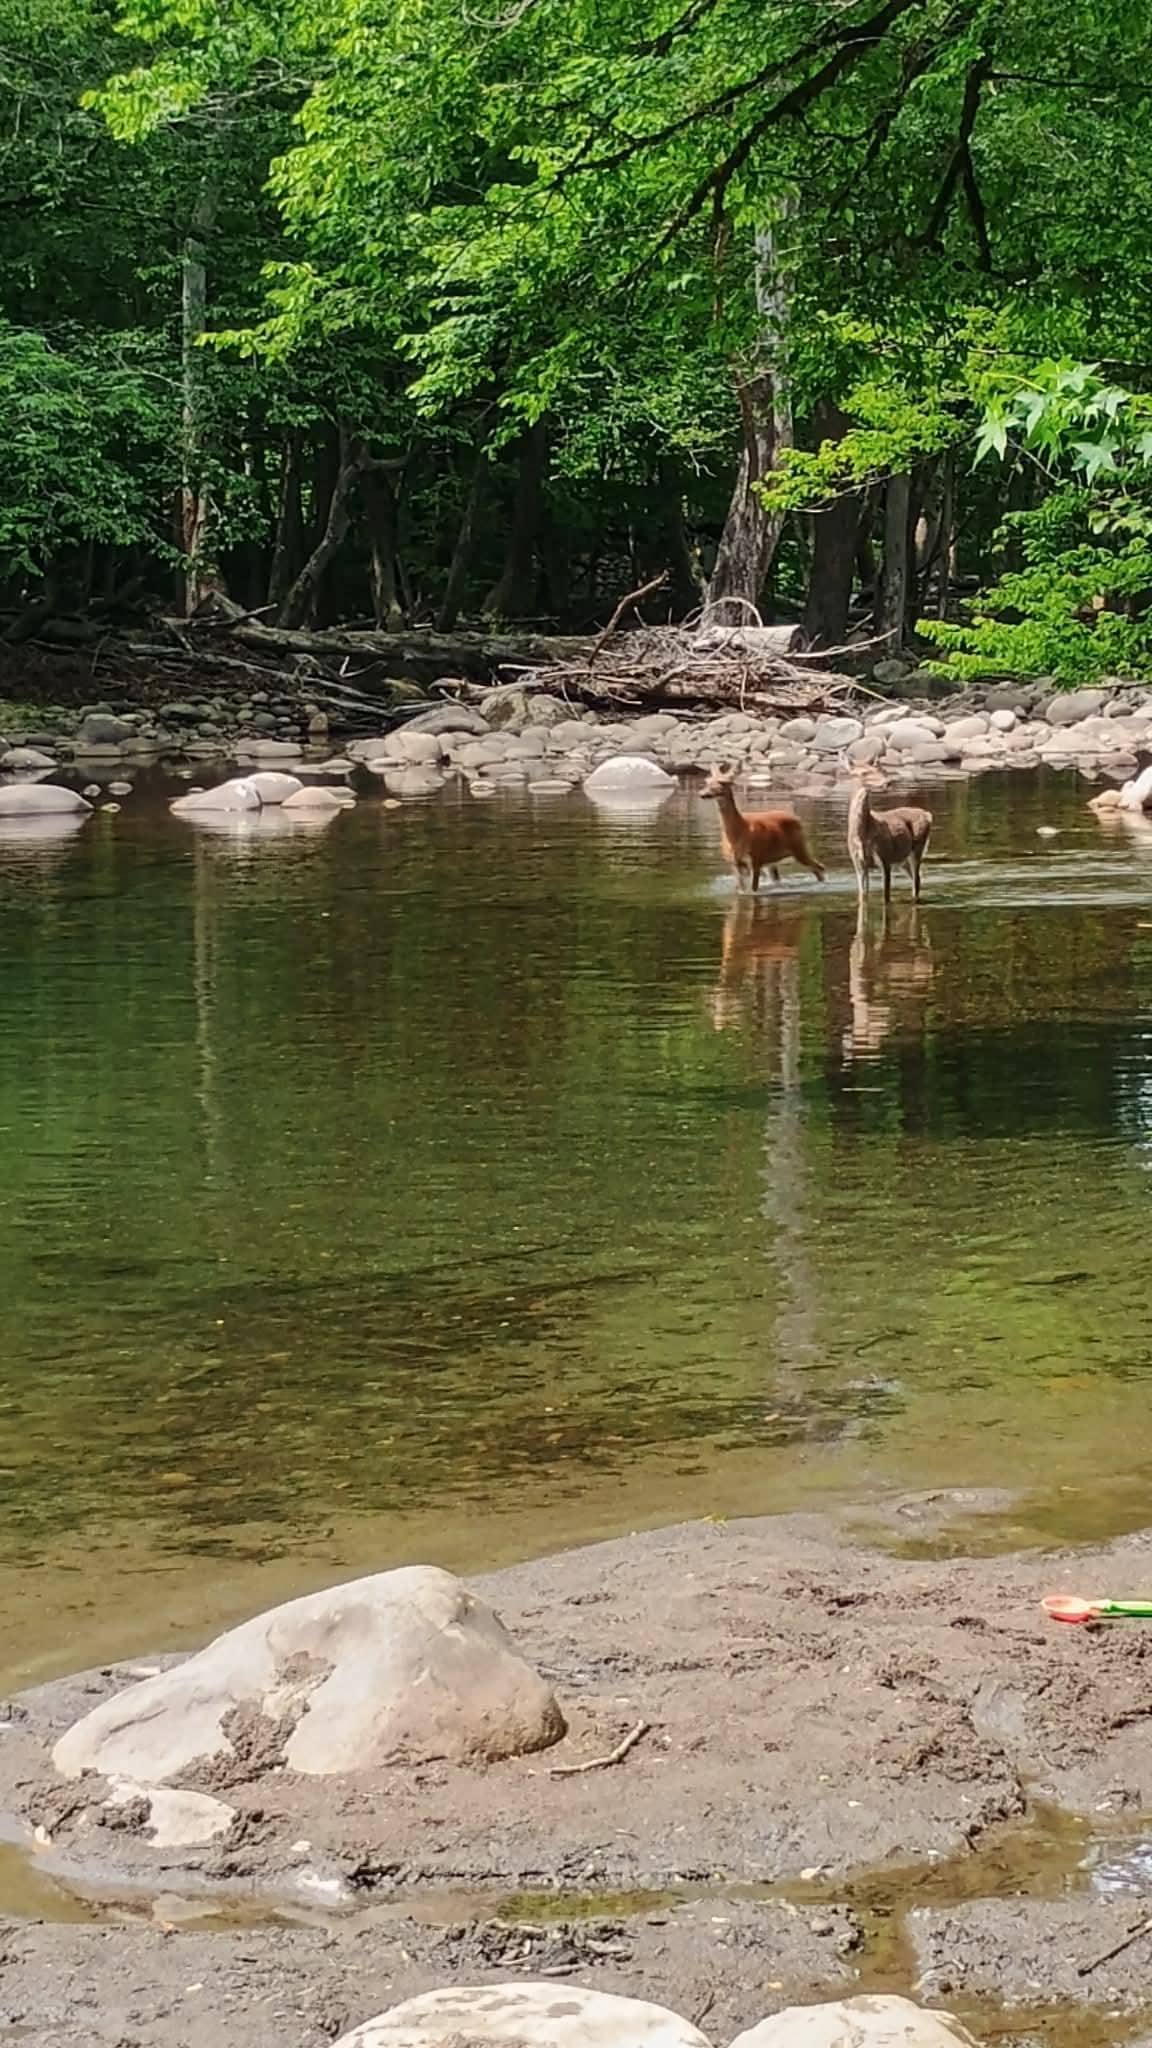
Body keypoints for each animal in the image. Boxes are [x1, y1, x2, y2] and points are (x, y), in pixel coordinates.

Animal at [701, 764, 826, 893]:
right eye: (707, 781)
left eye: (724, 782)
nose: (703, 794)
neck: (738, 833)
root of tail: (797, 818)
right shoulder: (734, 863)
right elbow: (740, 889)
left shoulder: (756, 859)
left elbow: (753, 889)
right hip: (773, 860)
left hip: (799, 847)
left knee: (820, 867)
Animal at [846, 774, 933, 904]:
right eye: (866, 773)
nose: (888, 781)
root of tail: (928, 815)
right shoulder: (859, 864)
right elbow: (863, 895)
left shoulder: (885, 858)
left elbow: (886, 897)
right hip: (903, 859)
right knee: (917, 877)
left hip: (917, 848)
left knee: (916, 880)